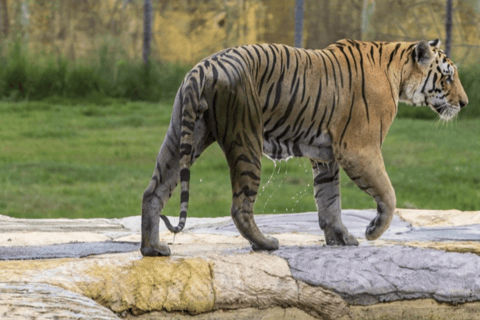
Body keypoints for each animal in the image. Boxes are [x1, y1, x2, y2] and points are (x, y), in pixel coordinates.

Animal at [140, 38, 468, 256]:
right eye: (448, 76)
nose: (465, 103)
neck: (398, 72)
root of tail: (204, 67)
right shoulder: (360, 149)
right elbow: (388, 193)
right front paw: (372, 230)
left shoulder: (326, 156)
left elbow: (329, 200)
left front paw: (340, 238)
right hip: (245, 137)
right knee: (240, 206)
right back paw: (265, 244)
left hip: (183, 136)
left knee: (153, 191)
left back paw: (152, 248)